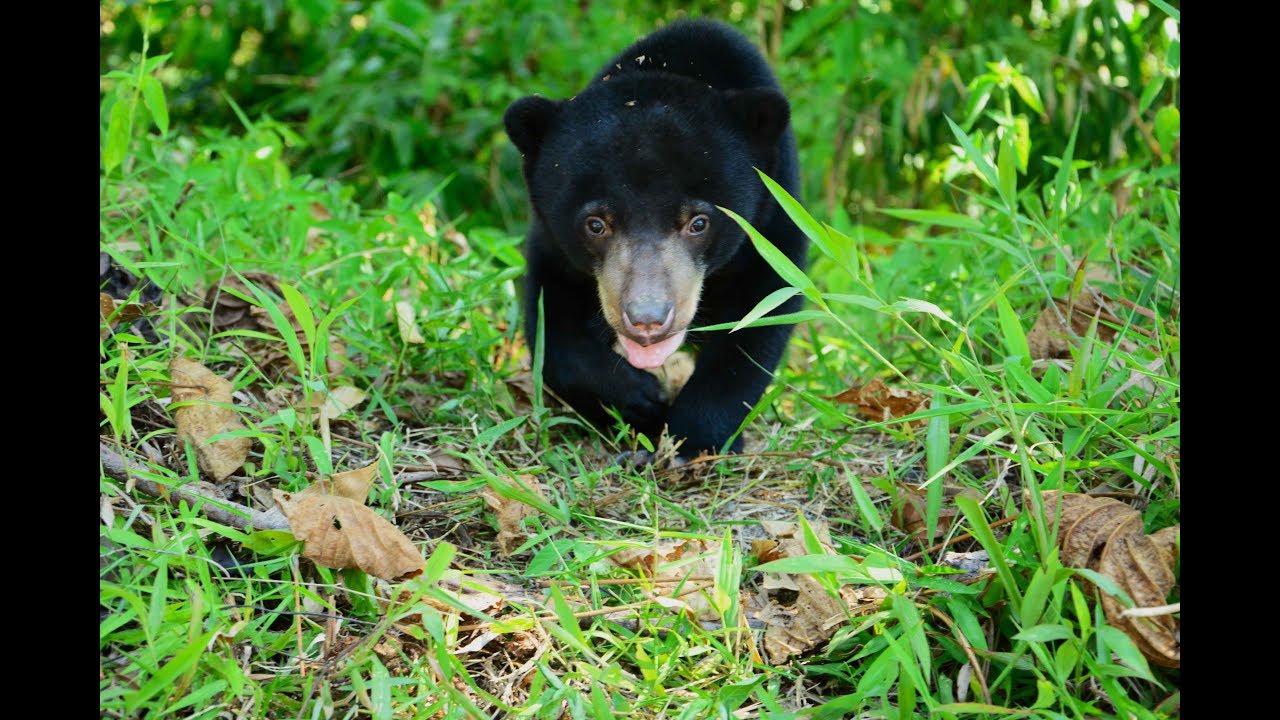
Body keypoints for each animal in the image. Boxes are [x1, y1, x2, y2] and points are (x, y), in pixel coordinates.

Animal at [504, 18, 808, 461]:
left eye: (699, 222)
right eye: (596, 224)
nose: (647, 319)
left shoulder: (768, 227)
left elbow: (758, 320)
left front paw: (691, 440)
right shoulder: (555, 245)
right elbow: (553, 324)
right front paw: (639, 401)